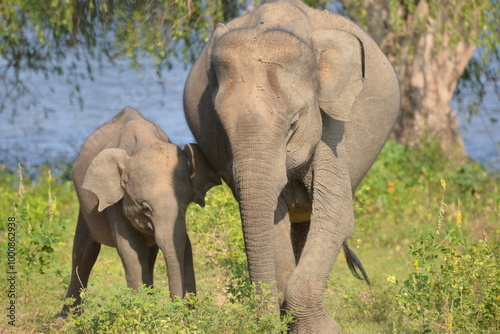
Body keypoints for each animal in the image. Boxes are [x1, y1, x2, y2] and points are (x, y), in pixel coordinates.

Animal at [60, 107, 217, 316]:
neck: (145, 143)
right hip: (86, 208)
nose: (177, 309)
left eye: (185, 205)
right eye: (145, 207)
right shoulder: (116, 200)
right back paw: (66, 318)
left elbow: (184, 246)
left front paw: (188, 316)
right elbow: (131, 249)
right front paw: (140, 312)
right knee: (85, 253)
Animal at [184, 1, 398, 332]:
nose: (266, 323)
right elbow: (273, 220)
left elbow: (334, 216)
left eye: (294, 123)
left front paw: (320, 328)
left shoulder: (332, 125)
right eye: (219, 126)